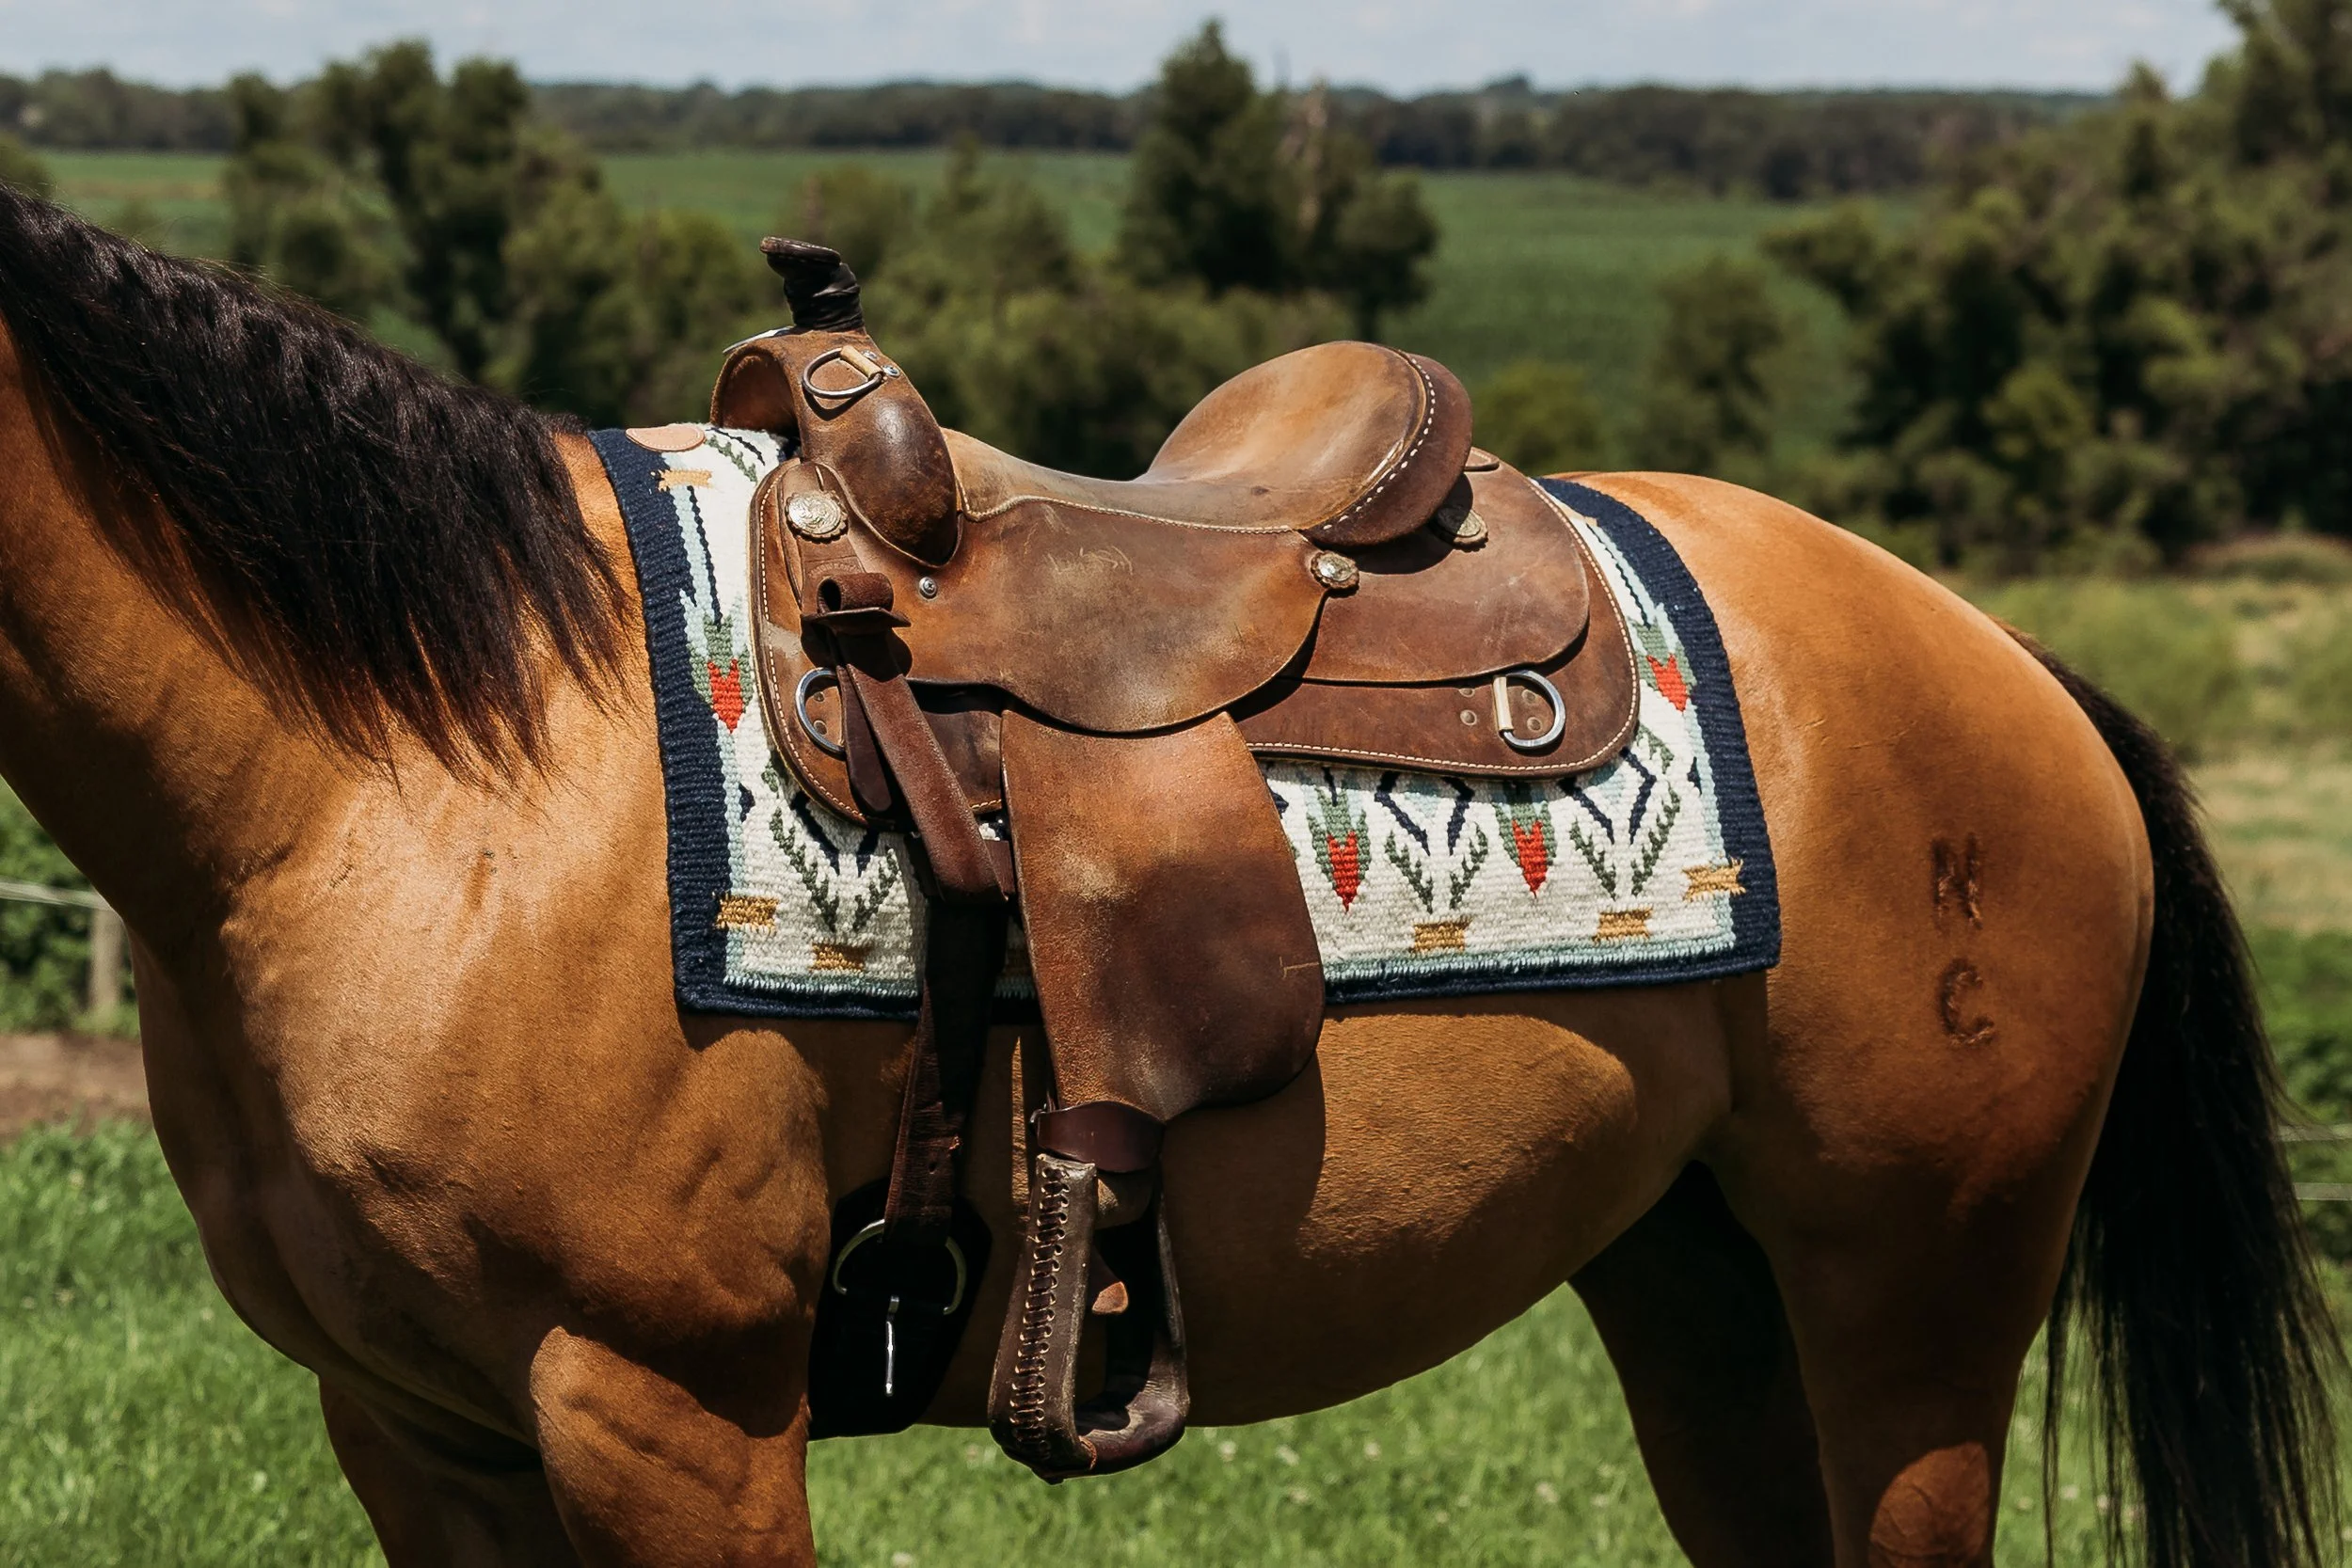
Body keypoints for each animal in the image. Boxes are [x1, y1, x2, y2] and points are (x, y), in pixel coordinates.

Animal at [0, 185, 2336, 1567]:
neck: (423, 770)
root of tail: (2001, 659)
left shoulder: (664, 1405)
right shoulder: (421, 1429)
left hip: (1913, 1302)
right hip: (1705, 1292)